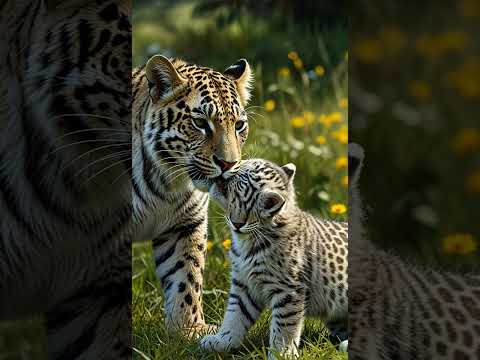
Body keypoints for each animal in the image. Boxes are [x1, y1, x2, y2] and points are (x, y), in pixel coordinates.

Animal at [129, 54, 253, 334]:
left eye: (239, 125)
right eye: (200, 123)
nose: (229, 163)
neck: (167, 181)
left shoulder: (184, 225)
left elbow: (186, 278)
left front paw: (187, 331)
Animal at [201, 159, 346, 358]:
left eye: (242, 172)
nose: (227, 165)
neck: (248, 239)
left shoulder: (289, 290)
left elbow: (284, 326)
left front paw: (281, 354)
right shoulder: (244, 284)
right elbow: (235, 314)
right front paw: (223, 341)